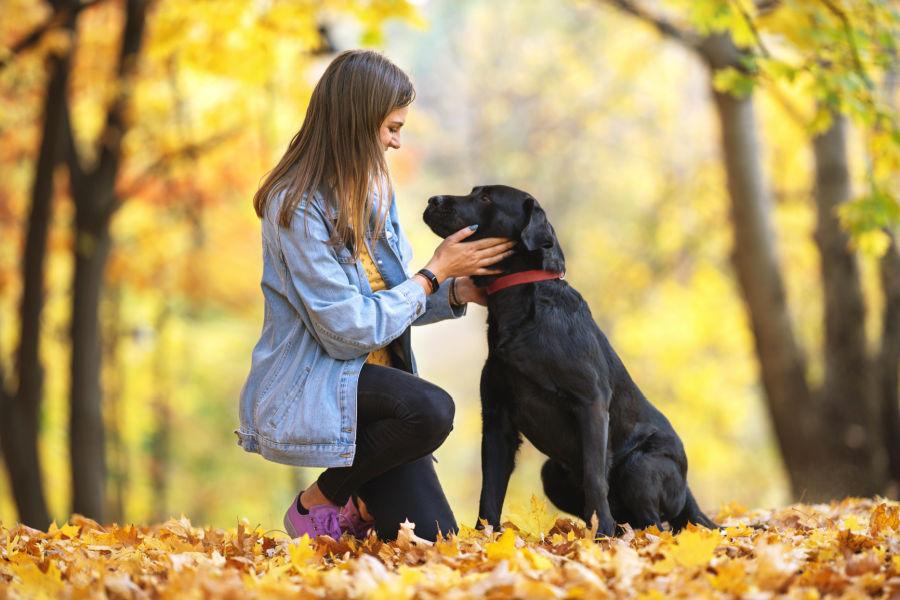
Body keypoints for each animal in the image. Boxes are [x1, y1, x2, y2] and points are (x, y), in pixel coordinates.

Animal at [424, 185, 716, 536]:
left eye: (485, 198)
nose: (432, 200)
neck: (519, 307)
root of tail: (688, 492)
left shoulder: (591, 403)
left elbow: (594, 475)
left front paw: (600, 533)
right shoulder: (497, 418)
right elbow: (490, 488)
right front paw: (484, 538)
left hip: (640, 466)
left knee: (657, 525)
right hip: (552, 472)